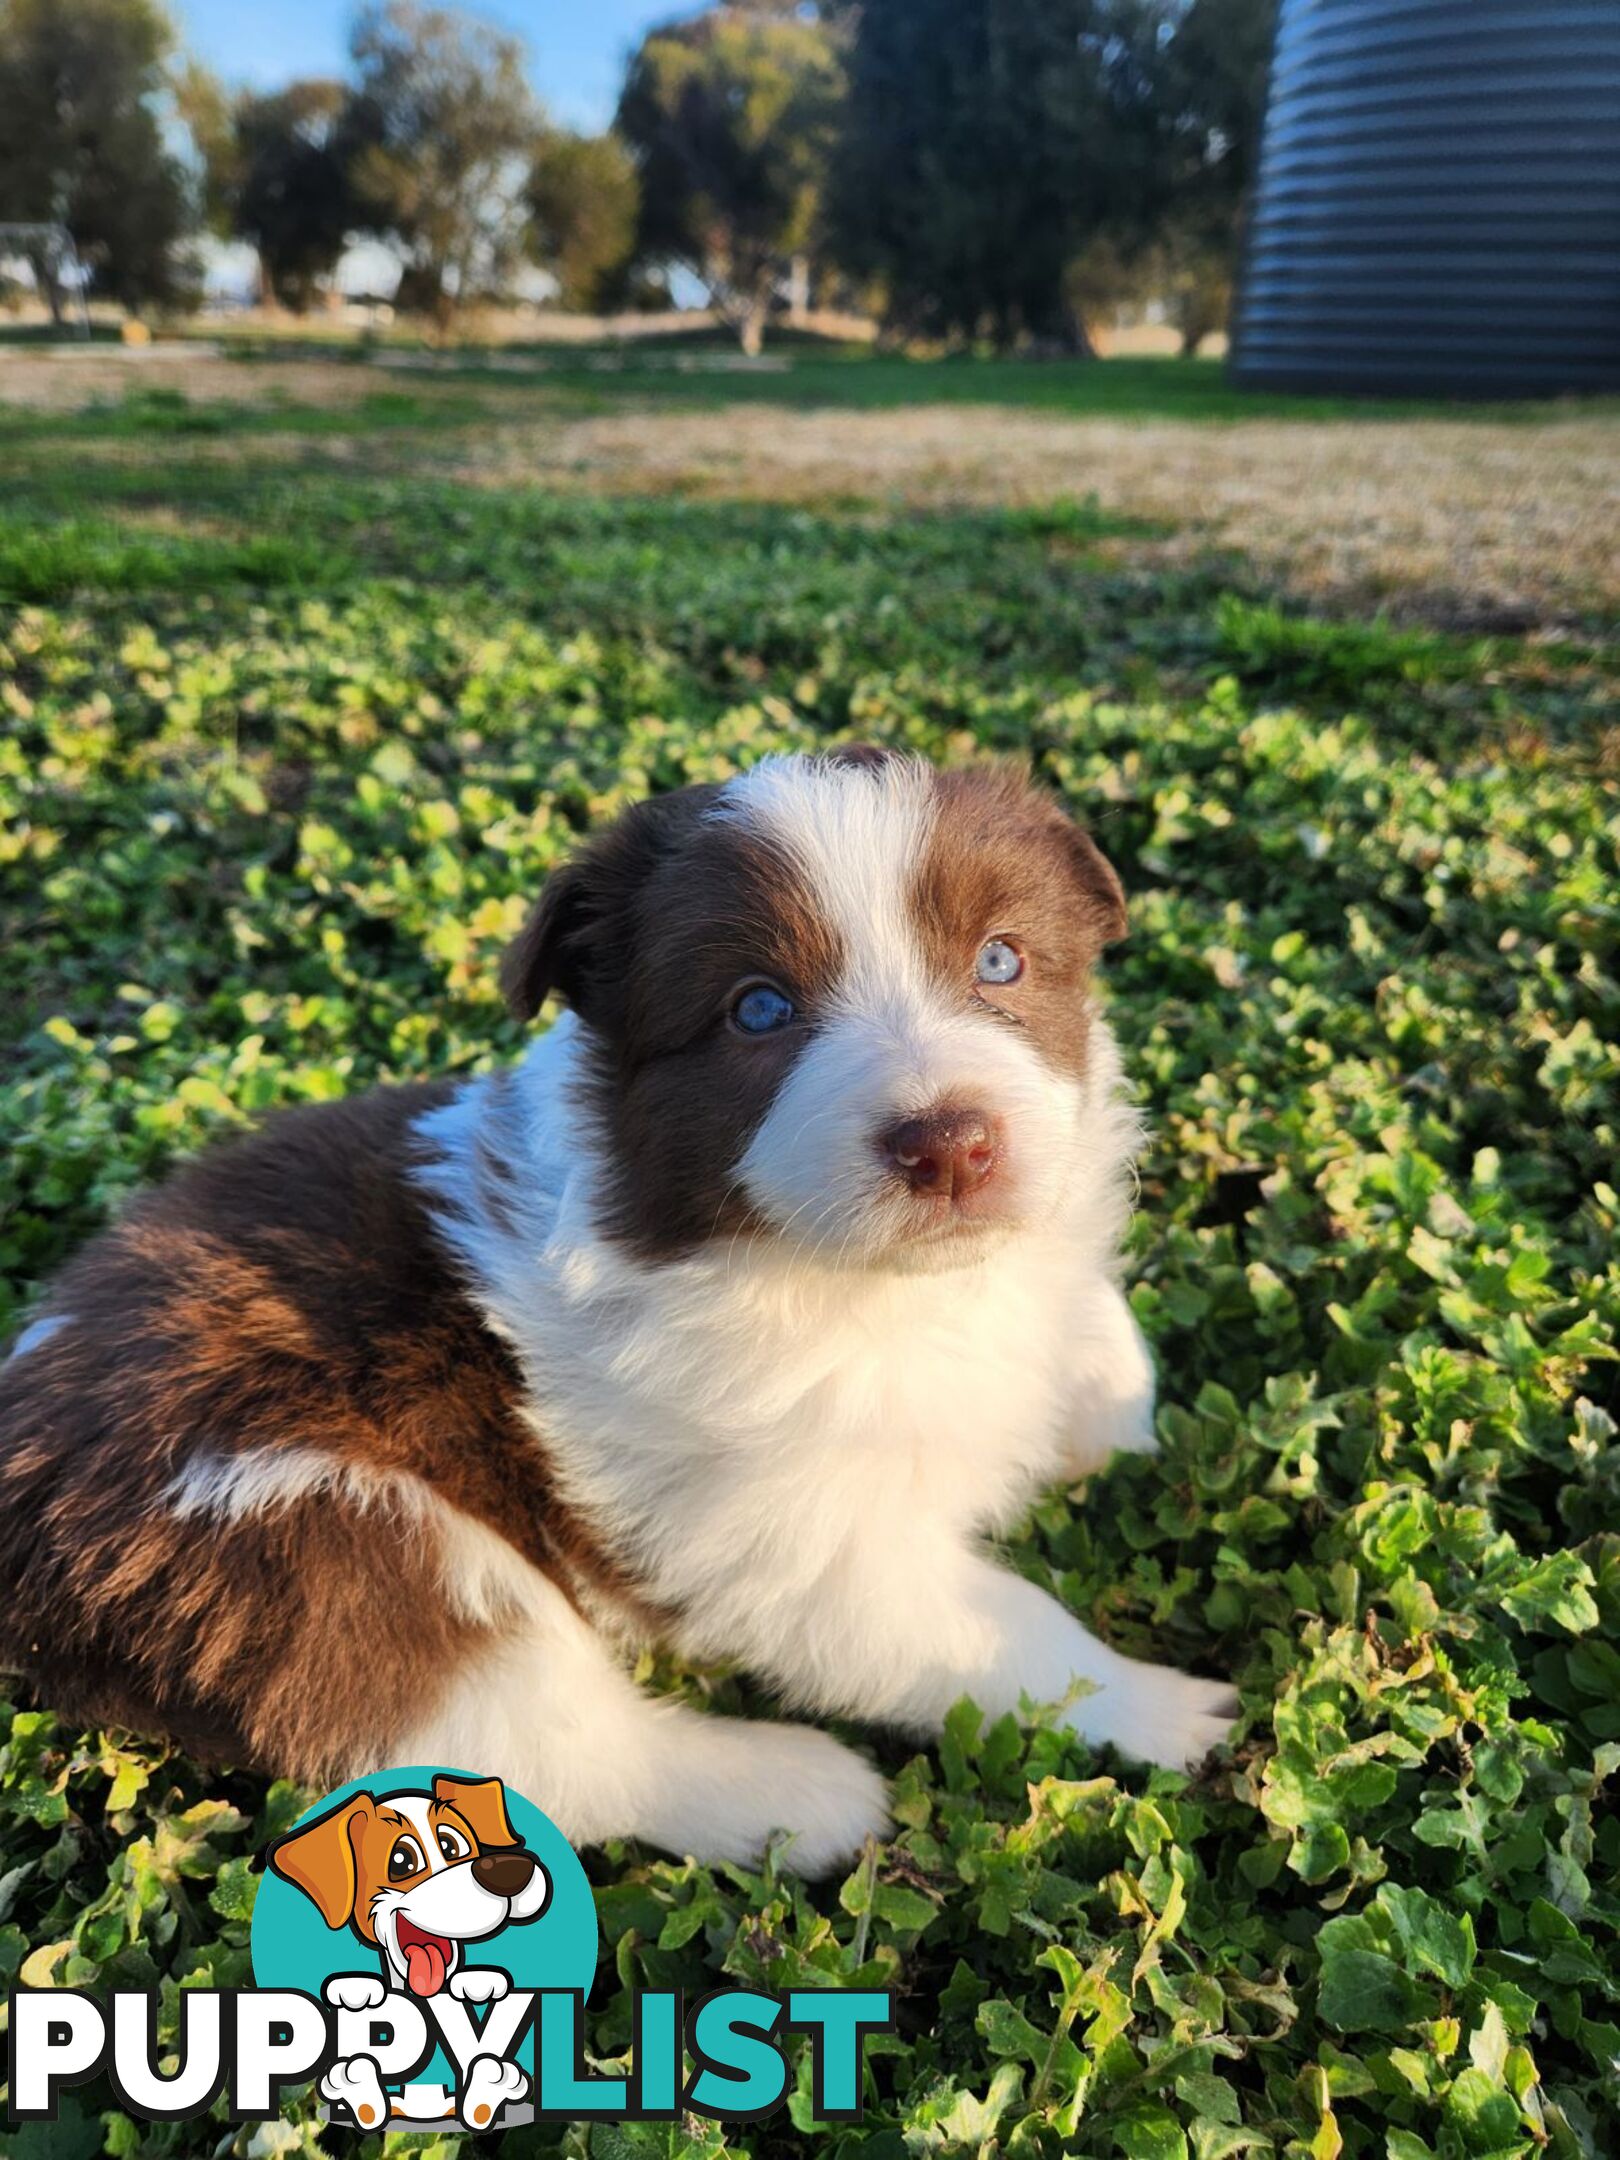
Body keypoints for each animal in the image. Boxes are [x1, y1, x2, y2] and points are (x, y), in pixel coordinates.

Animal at [0, 751, 1235, 1866]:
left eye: (1001, 960)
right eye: (758, 1010)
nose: (952, 1144)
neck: (858, 1280)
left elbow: (1096, 1327)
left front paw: (1107, 1418)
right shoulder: (810, 1544)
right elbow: (997, 1629)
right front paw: (1165, 1709)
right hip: (314, 1542)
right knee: (528, 1745)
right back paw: (801, 1795)